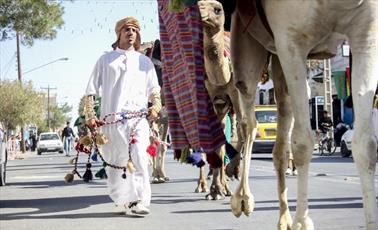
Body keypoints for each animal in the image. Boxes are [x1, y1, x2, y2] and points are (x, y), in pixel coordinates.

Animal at [227, 0, 378, 229]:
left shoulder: (367, 29)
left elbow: (366, 145)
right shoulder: (290, 39)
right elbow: (302, 143)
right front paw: (302, 222)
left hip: (277, 61)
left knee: (282, 124)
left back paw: (284, 219)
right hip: (246, 39)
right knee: (248, 117)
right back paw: (242, 198)